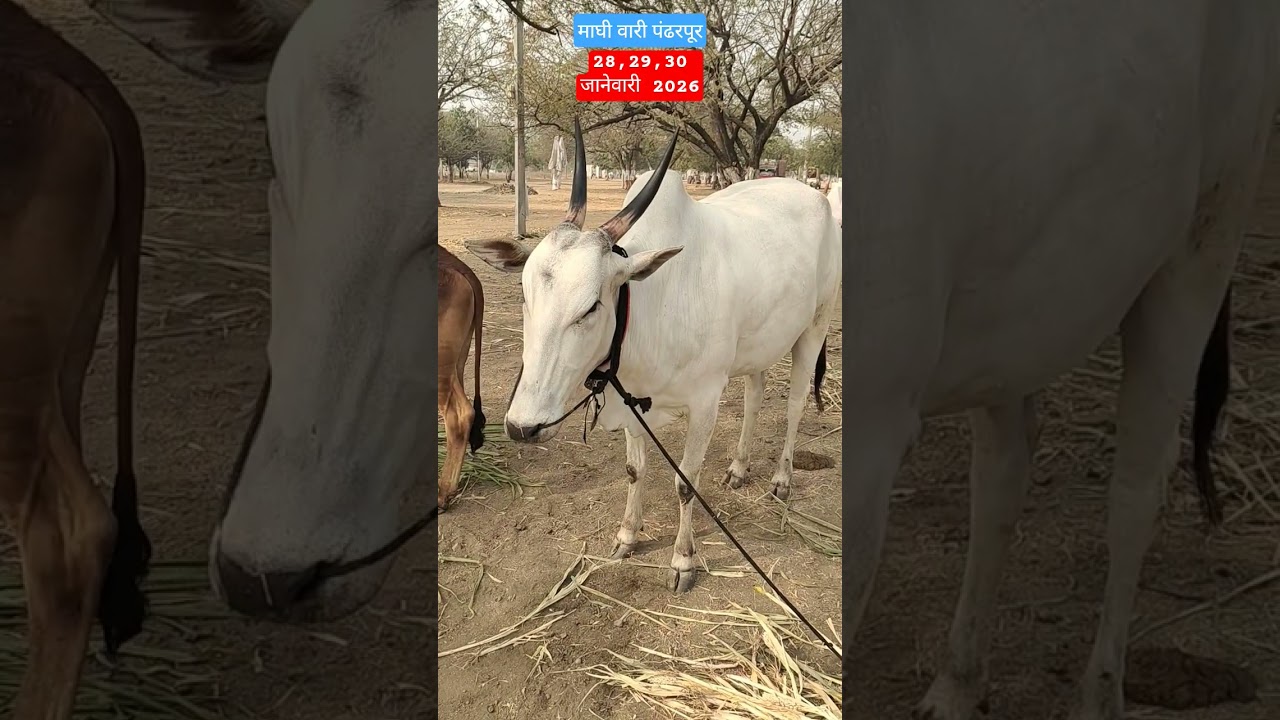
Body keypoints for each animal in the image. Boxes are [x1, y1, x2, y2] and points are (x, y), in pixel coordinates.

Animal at [466, 122, 841, 593]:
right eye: (524, 293)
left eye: (591, 307)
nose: (522, 427)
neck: (651, 305)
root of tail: (811, 195)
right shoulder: (631, 400)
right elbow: (634, 469)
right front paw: (627, 535)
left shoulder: (705, 402)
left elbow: (685, 483)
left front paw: (683, 559)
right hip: (757, 346)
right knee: (755, 397)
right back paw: (739, 468)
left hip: (814, 327)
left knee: (793, 405)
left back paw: (783, 478)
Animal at [846, 3, 1280, 719]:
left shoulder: (871, 433)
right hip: (1017, 311)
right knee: (1003, 471)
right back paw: (960, 679)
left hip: (1206, 237)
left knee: (1137, 488)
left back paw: (1099, 694)